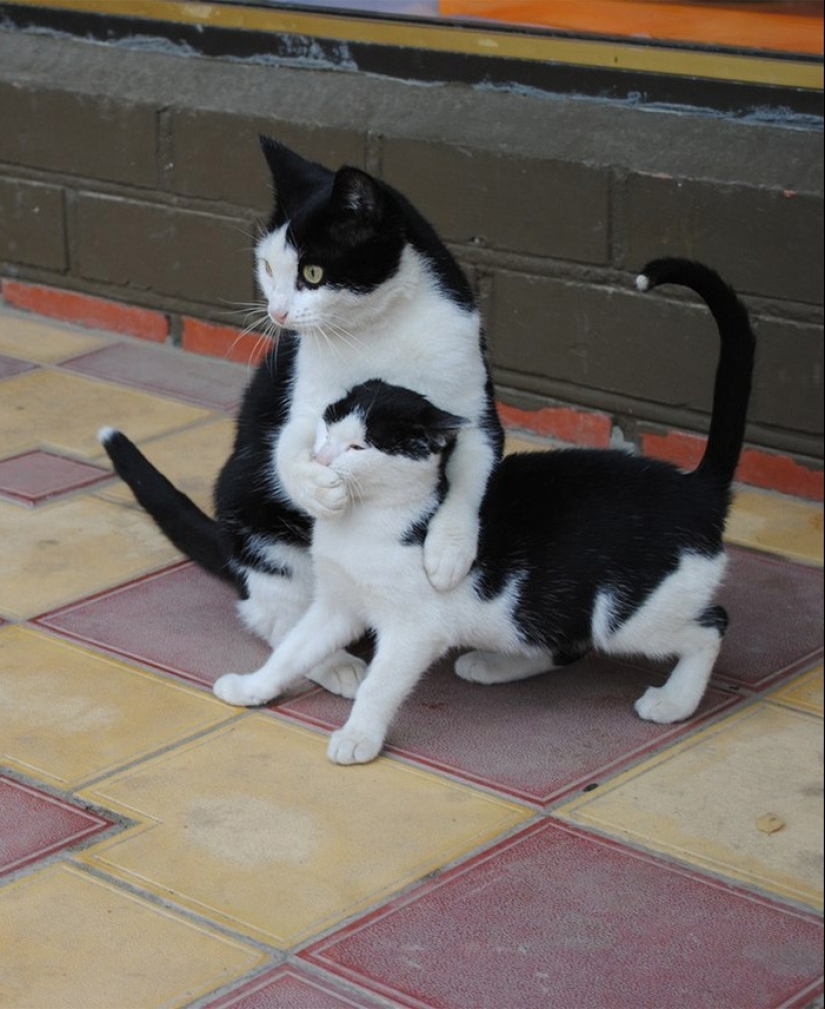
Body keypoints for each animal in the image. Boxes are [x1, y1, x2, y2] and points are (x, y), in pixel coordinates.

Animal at [102, 136, 502, 694]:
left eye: (313, 273)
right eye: (268, 268)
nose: (277, 313)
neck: (377, 331)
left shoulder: (472, 404)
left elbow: (473, 471)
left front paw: (448, 550)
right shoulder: (307, 401)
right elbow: (289, 449)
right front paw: (319, 490)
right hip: (255, 519)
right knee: (275, 615)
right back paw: (333, 664)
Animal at [211, 260, 750, 762]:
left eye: (359, 446)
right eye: (326, 427)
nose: (321, 459)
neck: (372, 522)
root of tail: (695, 488)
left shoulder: (413, 630)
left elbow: (380, 685)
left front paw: (358, 737)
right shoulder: (336, 605)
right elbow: (292, 651)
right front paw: (252, 687)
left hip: (628, 614)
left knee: (710, 626)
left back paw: (674, 701)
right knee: (564, 638)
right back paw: (495, 664)